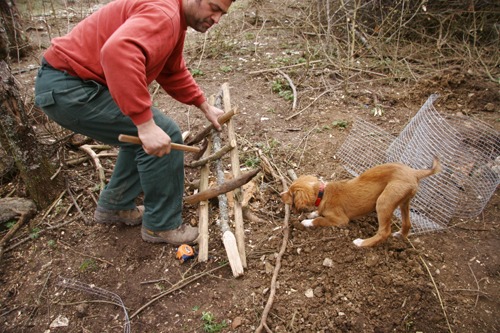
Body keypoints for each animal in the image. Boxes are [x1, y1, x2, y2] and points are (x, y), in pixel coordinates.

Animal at [282, 158, 442, 246]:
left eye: (290, 193)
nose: (280, 195)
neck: (323, 193)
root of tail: (414, 172)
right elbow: (318, 212)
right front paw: (312, 214)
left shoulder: (341, 219)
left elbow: (320, 220)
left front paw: (307, 222)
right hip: (403, 201)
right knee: (407, 223)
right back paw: (400, 235)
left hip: (383, 201)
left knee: (384, 232)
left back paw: (361, 243)